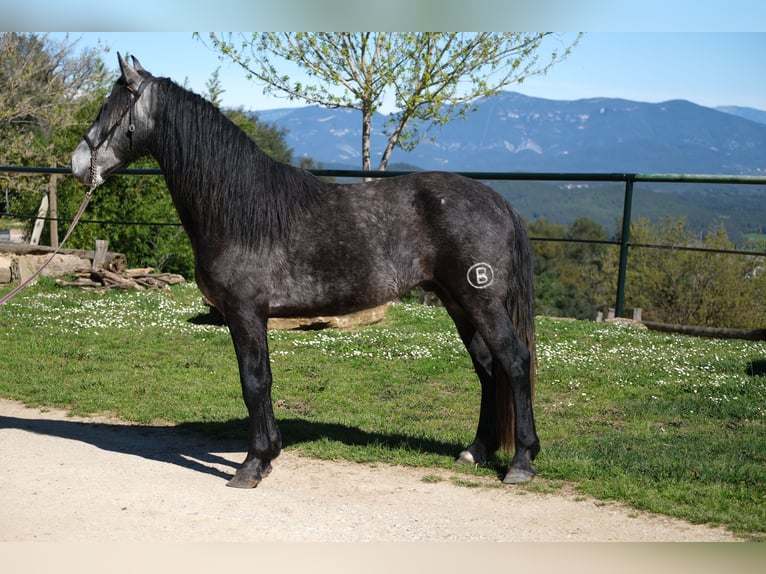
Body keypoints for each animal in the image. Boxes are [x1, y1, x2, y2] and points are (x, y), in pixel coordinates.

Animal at [71, 54, 540, 488]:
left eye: (108, 107)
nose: (77, 164)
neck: (239, 210)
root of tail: (498, 201)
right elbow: (259, 382)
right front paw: (266, 456)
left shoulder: (245, 313)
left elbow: (254, 381)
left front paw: (253, 464)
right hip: (457, 301)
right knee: (487, 367)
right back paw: (477, 450)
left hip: (480, 300)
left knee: (514, 361)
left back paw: (520, 462)